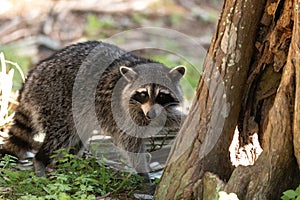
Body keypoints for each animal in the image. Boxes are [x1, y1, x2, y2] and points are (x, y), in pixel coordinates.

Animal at [0, 40, 185, 180]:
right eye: (143, 94)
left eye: (162, 95)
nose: (150, 114)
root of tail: (31, 79)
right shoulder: (122, 111)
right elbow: (129, 141)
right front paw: (143, 171)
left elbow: (166, 117)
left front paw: (181, 120)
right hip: (56, 101)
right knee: (61, 136)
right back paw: (41, 160)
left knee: (78, 135)